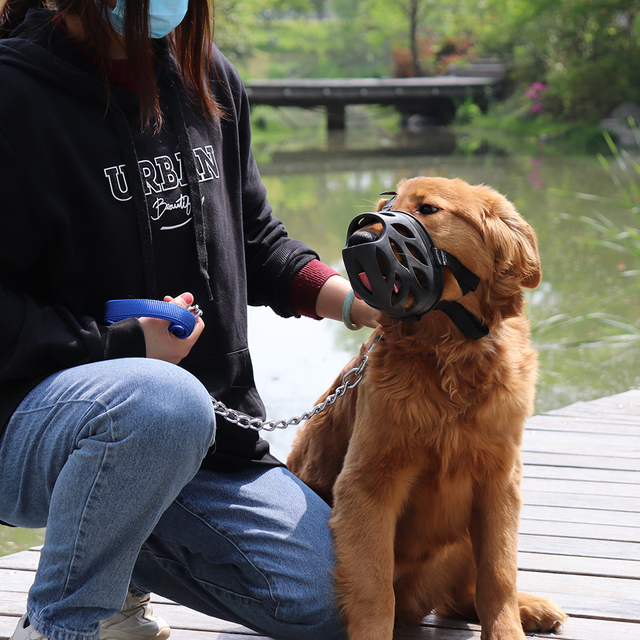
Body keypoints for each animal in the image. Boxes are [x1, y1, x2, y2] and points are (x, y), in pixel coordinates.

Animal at [288, 176, 568, 640]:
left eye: (428, 209)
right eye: (387, 207)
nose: (359, 239)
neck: (450, 353)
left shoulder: (500, 482)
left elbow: (499, 574)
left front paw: (508, 628)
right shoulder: (368, 484)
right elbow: (374, 586)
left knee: (465, 595)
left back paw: (532, 608)